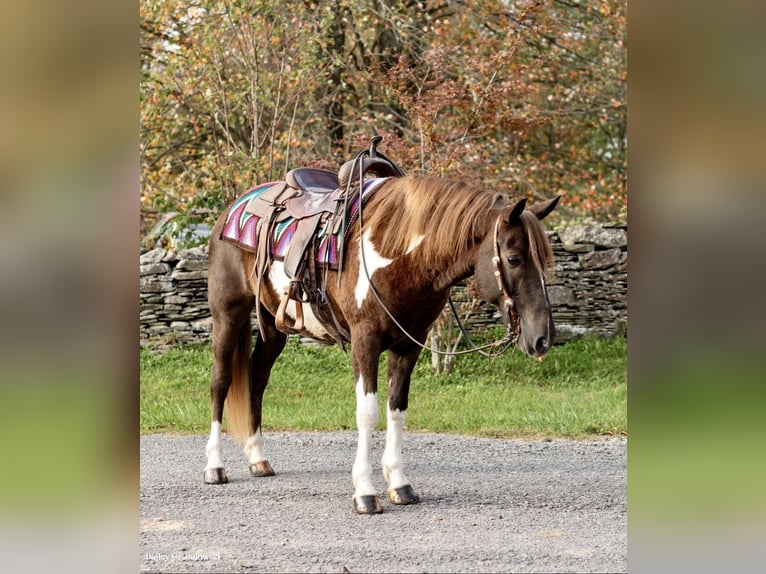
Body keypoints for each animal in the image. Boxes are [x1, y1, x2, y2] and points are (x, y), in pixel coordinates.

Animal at [202, 173, 564, 516]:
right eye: (514, 259)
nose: (542, 337)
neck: (401, 257)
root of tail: (232, 211)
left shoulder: (409, 346)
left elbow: (397, 409)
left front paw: (399, 484)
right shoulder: (365, 342)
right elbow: (368, 413)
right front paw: (364, 491)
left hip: (275, 326)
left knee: (257, 379)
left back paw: (257, 458)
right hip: (228, 313)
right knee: (221, 381)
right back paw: (214, 466)